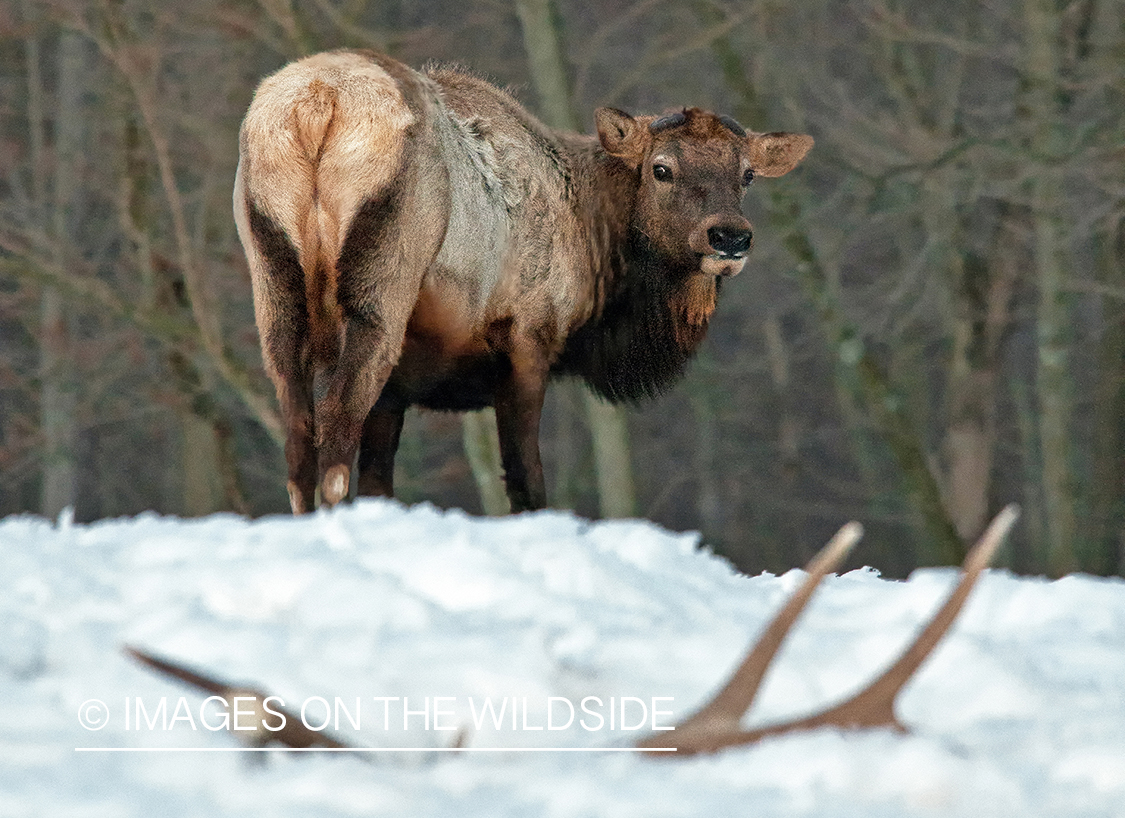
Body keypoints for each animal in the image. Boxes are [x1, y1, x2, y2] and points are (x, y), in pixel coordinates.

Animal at [232, 49, 814, 513]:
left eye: (746, 174)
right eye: (661, 168)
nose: (730, 237)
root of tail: (319, 105)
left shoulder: (401, 390)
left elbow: (379, 481)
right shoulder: (530, 338)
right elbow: (526, 480)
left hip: (273, 291)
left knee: (299, 439)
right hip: (382, 290)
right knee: (335, 426)